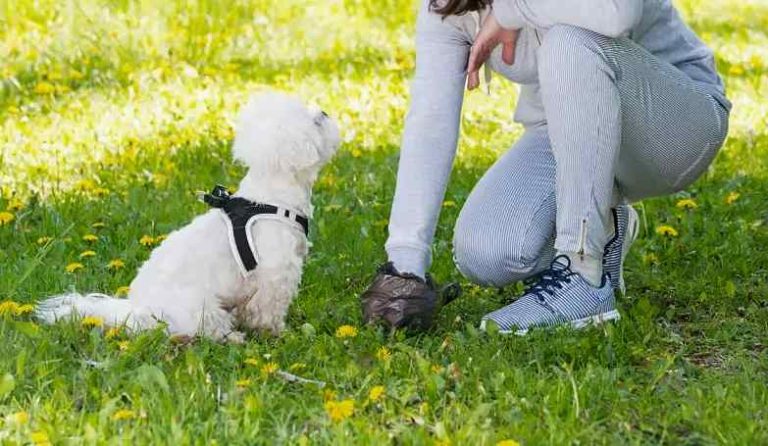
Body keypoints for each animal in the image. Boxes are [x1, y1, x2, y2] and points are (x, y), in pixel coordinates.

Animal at [33, 92, 340, 340]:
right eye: (316, 122)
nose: (325, 111)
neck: (271, 198)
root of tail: (137, 309)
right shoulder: (276, 273)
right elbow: (267, 309)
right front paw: (275, 332)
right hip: (199, 306)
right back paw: (231, 337)